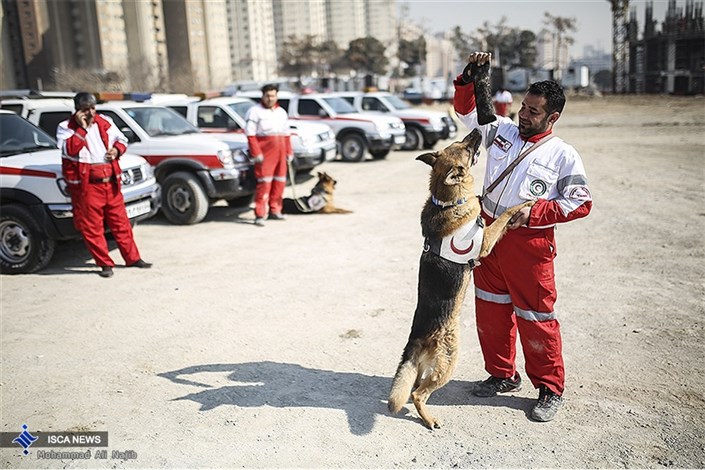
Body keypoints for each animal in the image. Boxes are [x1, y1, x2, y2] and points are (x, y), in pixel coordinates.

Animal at [384, 129, 532, 430]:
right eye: (464, 148)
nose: (477, 130)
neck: (448, 201)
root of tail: (417, 337)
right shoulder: (486, 241)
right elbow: (504, 216)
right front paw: (523, 204)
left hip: (429, 365)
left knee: (414, 384)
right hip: (450, 360)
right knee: (418, 393)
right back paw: (429, 419)